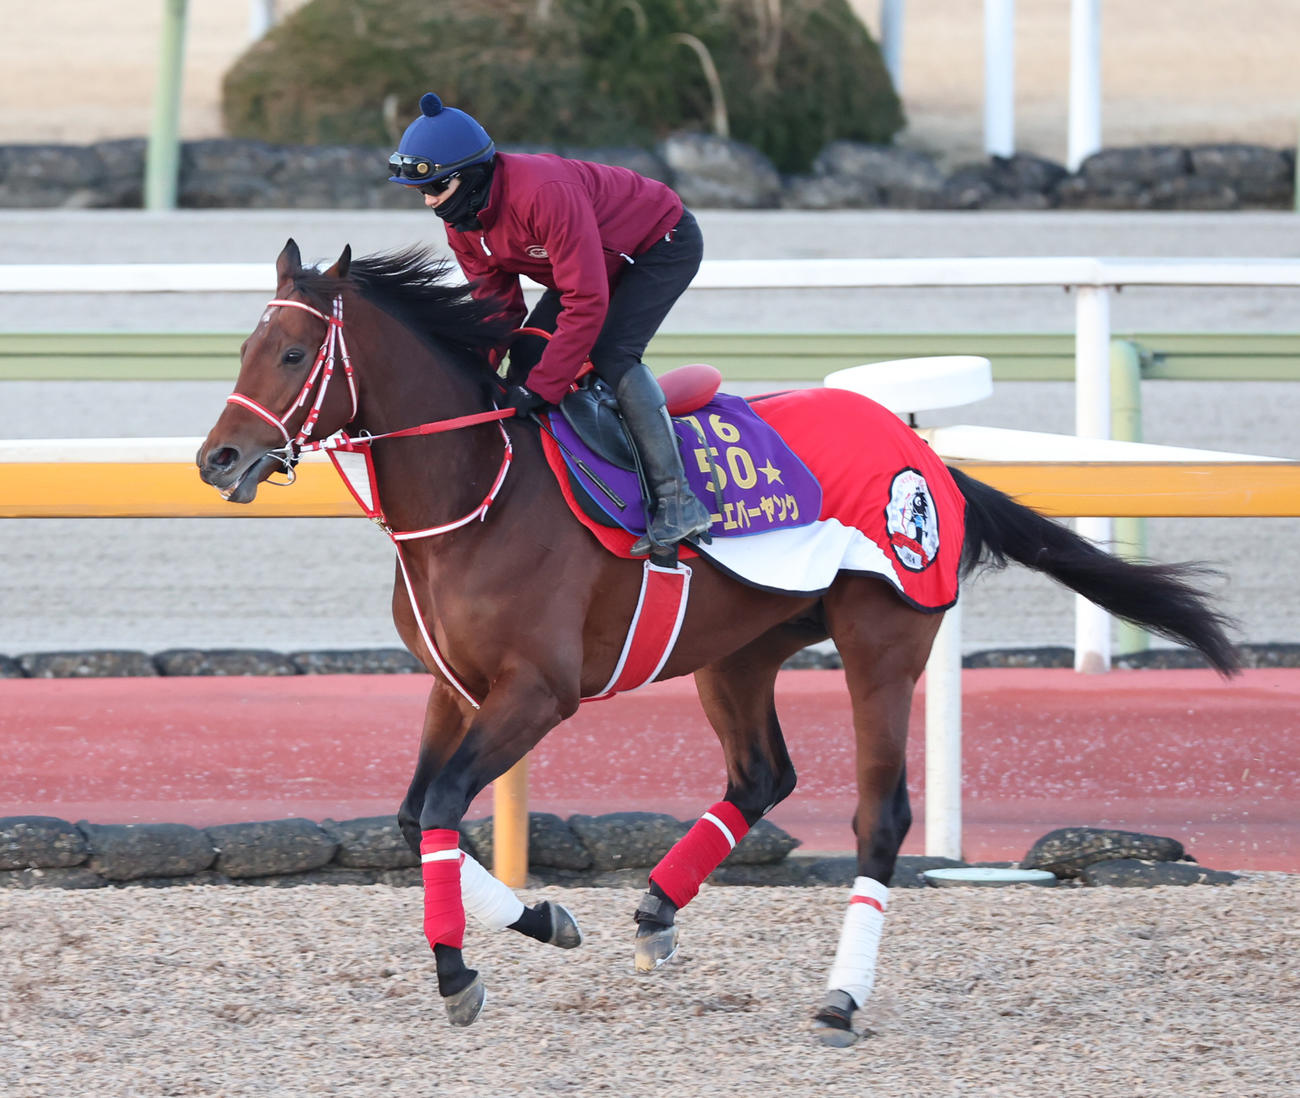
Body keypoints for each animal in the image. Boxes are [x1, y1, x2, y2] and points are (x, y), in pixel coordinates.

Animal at [197, 239, 1238, 1046]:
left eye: (292, 352)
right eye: (245, 347)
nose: (217, 458)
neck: (476, 493)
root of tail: (928, 462)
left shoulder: (538, 691)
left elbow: (449, 804)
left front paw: (459, 974)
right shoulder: (456, 685)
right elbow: (419, 816)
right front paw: (542, 918)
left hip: (882, 643)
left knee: (880, 816)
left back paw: (840, 997)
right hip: (740, 651)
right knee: (761, 775)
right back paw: (657, 907)